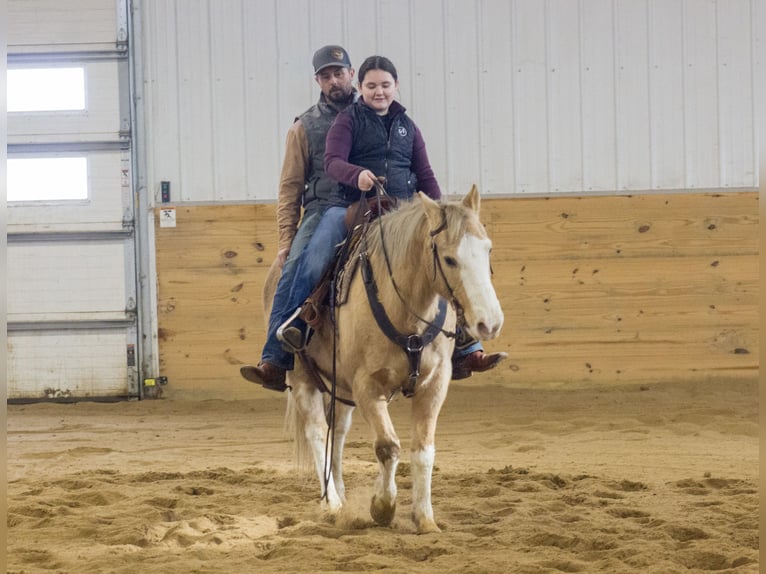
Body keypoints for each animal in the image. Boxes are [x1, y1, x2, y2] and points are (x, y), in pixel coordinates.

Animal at [264, 186, 504, 536]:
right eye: (449, 258)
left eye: (488, 250)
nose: (491, 323)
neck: (404, 309)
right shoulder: (367, 385)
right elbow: (388, 446)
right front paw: (382, 506)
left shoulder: (434, 384)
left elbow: (423, 450)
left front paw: (425, 518)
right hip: (302, 378)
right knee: (318, 432)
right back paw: (331, 502)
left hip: (339, 388)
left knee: (337, 433)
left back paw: (340, 492)